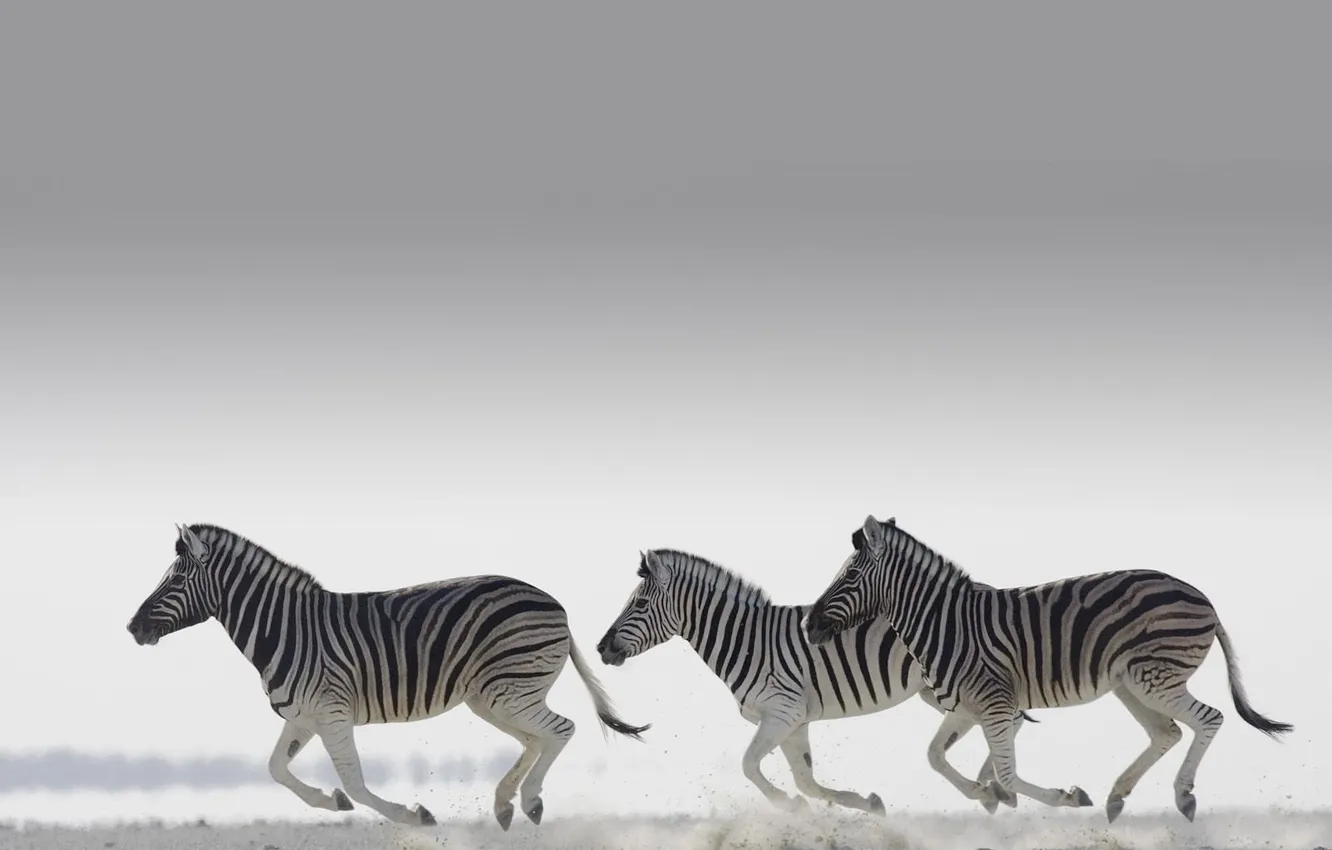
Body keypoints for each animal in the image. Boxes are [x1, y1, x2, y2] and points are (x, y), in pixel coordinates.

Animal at [126, 523, 650, 829]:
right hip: (493, 696)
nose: (132, 628)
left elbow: (356, 782)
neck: (285, 628)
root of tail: (553, 601)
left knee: (561, 730)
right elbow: (276, 769)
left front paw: (413, 815)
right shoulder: (303, 718)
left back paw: (529, 800)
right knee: (537, 739)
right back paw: (506, 803)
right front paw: (330, 802)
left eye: (176, 579)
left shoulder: (332, 713)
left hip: (508, 690)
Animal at [595, 548, 1035, 815]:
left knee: (1007, 720)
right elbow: (806, 780)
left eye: (639, 604)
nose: (601, 648)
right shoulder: (794, 722)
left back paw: (993, 787)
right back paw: (992, 787)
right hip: (939, 689)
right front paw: (865, 803)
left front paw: (787, 804)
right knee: (1007, 720)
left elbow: (750, 766)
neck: (747, 641)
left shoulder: (782, 713)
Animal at [804, 514, 1294, 823]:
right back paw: (1117, 797)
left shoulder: (994, 702)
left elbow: (1007, 773)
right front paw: (987, 794)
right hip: (1131, 684)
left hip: (1154, 678)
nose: (809, 625)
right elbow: (936, 757)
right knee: (1167, 733)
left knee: (1209, 718)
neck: (945, 624)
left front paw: (1060, 797)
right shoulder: (966, 707)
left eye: (849, 576)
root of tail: (1202, 596)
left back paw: (1183, 795)